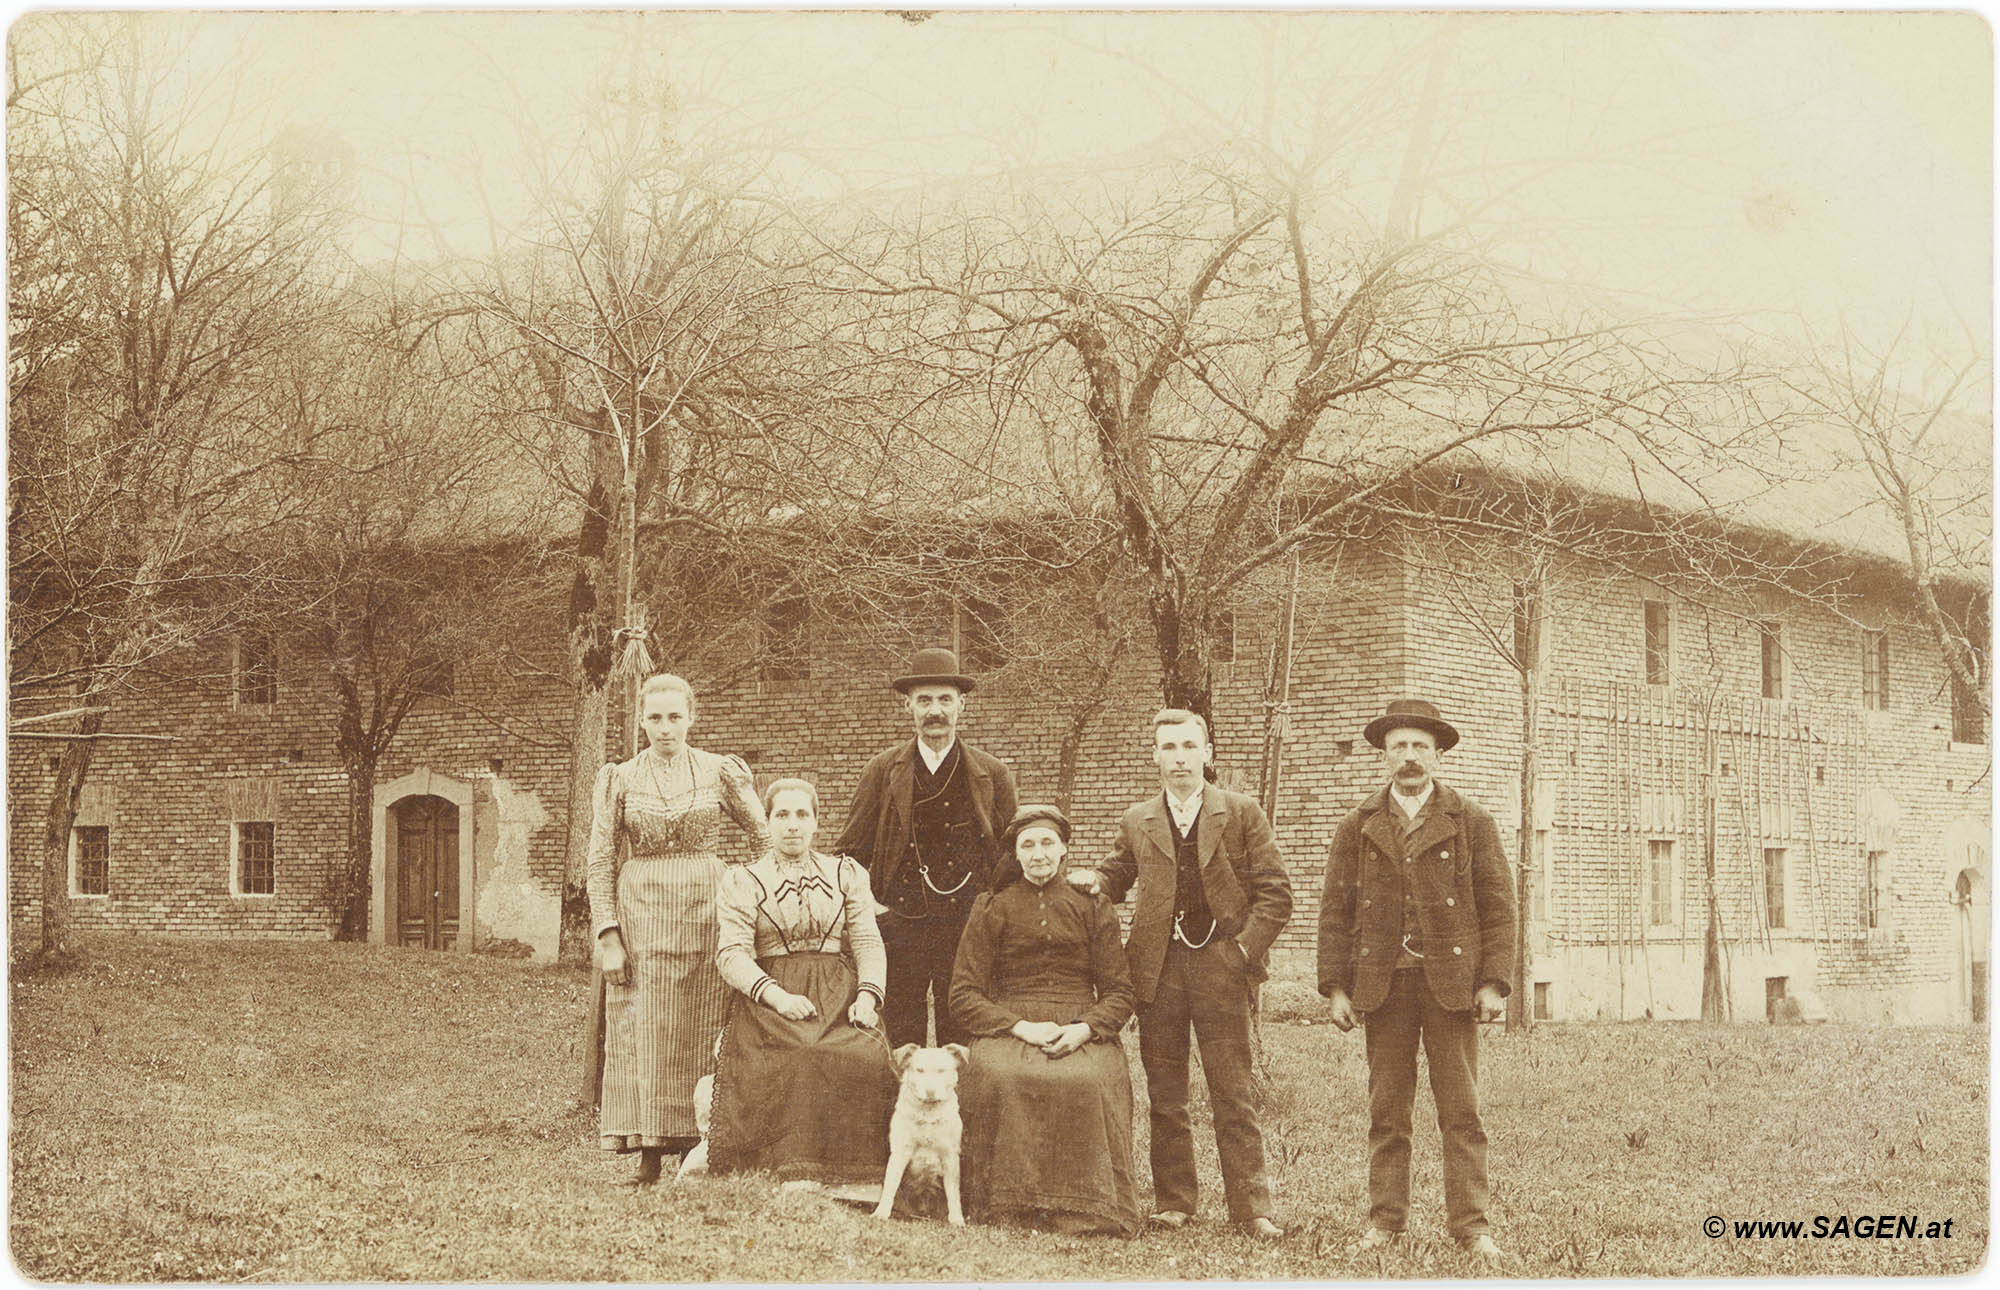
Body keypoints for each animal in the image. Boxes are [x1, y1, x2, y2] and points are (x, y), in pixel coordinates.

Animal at [876, 1040, 968, 1224]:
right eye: (919, 1070)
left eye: (941, 1070)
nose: (930, 1091)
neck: (928, 1114)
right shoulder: (900, 1153)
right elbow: (891, 1184)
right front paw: (881, 1212)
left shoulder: (950, 1156)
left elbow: (953, 1192)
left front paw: (956, 1219)